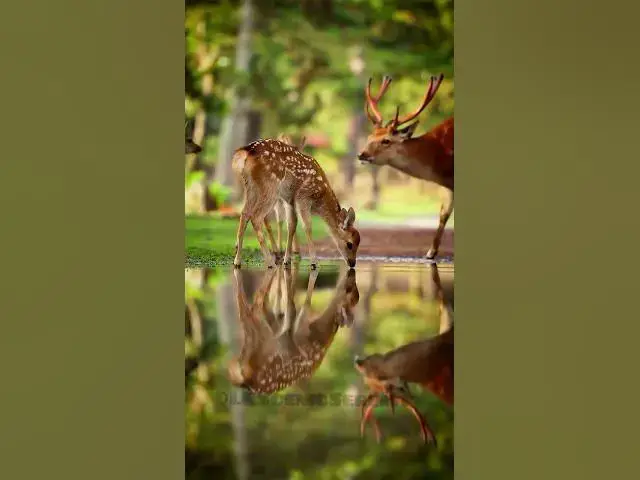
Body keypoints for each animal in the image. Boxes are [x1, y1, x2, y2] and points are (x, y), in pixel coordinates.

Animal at [227, 264, 360, 394]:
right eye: (351, 291)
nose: (350, 273)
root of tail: (249, 382)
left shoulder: (295, 330)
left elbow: (301, 304)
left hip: (265, 340)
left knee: (254, 307)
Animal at [231, 136, 361, 269]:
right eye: (350, 244)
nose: (352, 263)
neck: (320, 199)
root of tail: (247, 151)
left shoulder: (290, 201)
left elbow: (292, 226)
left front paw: (287, 260)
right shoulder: (303, 197)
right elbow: (307, 226)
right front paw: (314, 262)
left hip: (251, 187)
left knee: (244, 214)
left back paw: (237, 261)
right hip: (270, 187)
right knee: (256, 217)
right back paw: (270, 262)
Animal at [358, 74, 454, 260]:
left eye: (386, 140)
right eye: (369, 136)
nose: (362, 154)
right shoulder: (449, 186)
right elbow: (443, 213)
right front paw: (430, 253)